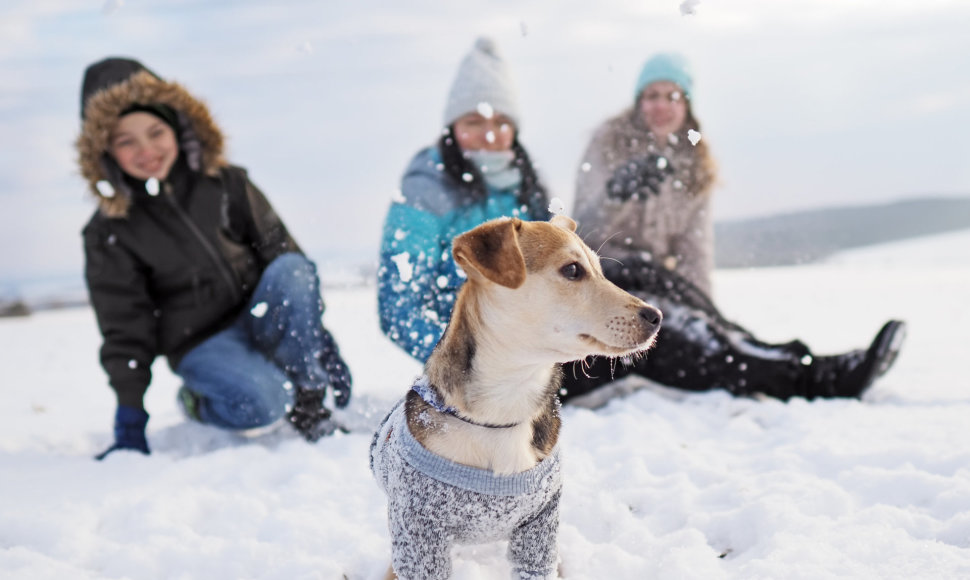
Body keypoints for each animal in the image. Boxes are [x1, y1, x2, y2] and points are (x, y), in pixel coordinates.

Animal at [368, 216, 656, 580]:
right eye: (573, 270)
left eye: (601, 271)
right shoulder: (417, 528)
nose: (656, 316)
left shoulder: (540, 523)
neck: (503, 409)